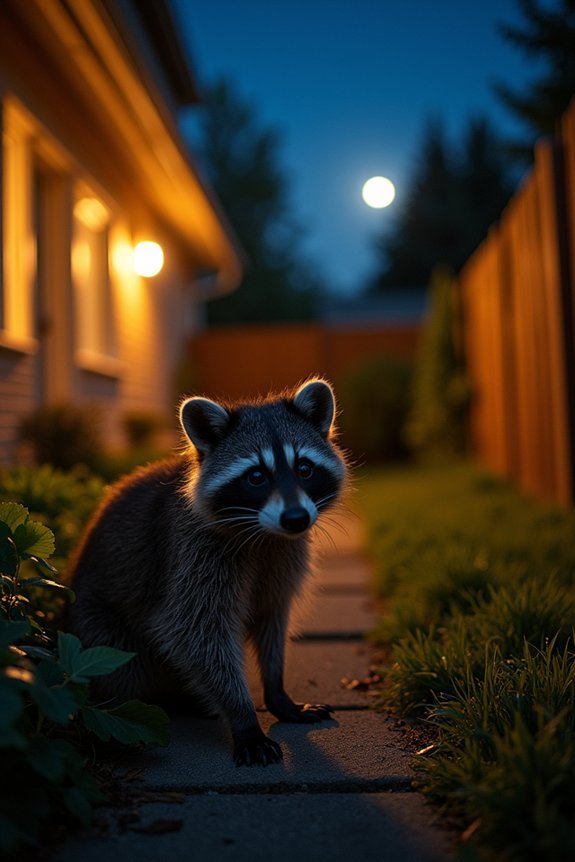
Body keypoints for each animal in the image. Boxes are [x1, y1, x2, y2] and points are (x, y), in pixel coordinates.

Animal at [67, 379, 347, 766]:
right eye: (256, 476)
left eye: (304, 469)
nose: (296, 519)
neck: (266, 534)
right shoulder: (194, 555)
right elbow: (194, 632)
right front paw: (243, 716)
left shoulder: (283, 557)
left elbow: (272, 618)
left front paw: (276, 691)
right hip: (97, 627)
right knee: (120, 670)